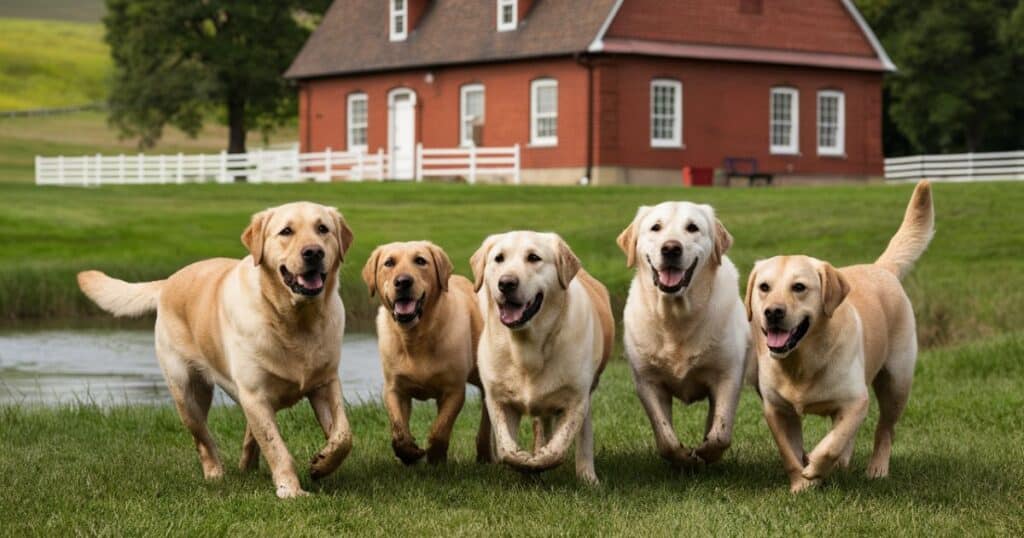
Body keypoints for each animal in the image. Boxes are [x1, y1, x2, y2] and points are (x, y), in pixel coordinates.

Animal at [76, 202, 356, 500]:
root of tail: (168, 281)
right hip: (187, 392)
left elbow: (343, 435)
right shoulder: (255, 393)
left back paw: (248, 465)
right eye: (286, 231)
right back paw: (215, 473)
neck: (296, 321)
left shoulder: (325, 382)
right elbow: (277, 448)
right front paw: (290, 490)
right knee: (203, 439)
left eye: (322, 229)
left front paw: (322, 463)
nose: (313, 252)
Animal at [362, 240, 493, 463]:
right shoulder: (394, 388)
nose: (403, 281)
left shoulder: (453, 390)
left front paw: (435, 456)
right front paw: (409, 452)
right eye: (389, 262)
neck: (416, 338)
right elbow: (398, 429)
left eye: (420, 261)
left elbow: (440, 429)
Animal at [468, 230, 610, 481]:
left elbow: (556, 449)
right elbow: (506, 449)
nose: (506, 283)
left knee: (582, 437)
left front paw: (540, 460)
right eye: (498, 258)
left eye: (533, 257)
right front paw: (524, 462)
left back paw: (587, 477)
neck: (527, 348)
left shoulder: (577, 399)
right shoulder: (498, 399)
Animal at [614, 199, 753, 465]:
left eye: (692, 227)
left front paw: (704, 454)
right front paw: (682, 457)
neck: (676, 318)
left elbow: (720, 433)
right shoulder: (647, 381)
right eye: (656, 227)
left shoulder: (728, 375)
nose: (671, 248)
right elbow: (665, 437)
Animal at [745, 180, 937, 489]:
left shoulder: (856, 400)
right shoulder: (776, 410)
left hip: (896, 382)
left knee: (884, 429)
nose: (772, 312)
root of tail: (881, 268)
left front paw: (814, 468)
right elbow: (790, 452)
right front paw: (801, 484)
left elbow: (831, 444)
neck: (801, 363)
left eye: (799, 287)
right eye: (764, 287)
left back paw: (877, 468)